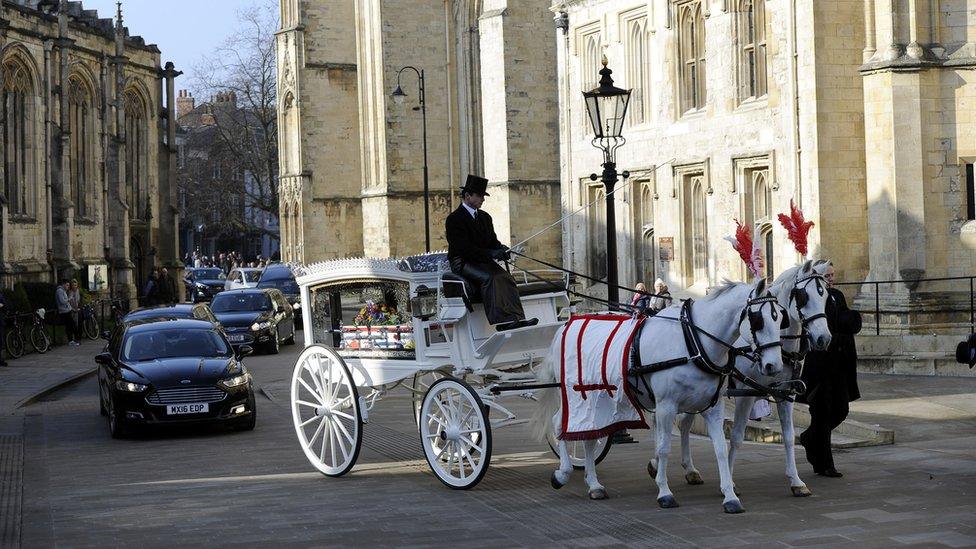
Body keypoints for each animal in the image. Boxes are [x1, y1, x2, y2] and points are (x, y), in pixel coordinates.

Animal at [532, 278, 784, 512]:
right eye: (758, 320)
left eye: (780, 318)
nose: (774, 366)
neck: (692, 341)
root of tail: (565, 326)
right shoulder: (666, 406)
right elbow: (663, 448)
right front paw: (664, 492)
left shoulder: (713, 407)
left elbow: (721, 448)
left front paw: (730, 495)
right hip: (576, 395)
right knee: (559, 424)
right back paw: (563, 473)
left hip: (599, 397)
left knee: (590, 435)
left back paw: (594, 484)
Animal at [672, 260, 832, 498]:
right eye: (804, 296)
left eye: (826, 296)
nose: (824, 338)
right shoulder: (746, 396)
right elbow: (737, 436)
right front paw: (730, 483)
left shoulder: (786, 393)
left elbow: (788, 436)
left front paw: (796, 481)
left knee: (684, 423)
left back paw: (689, 469)